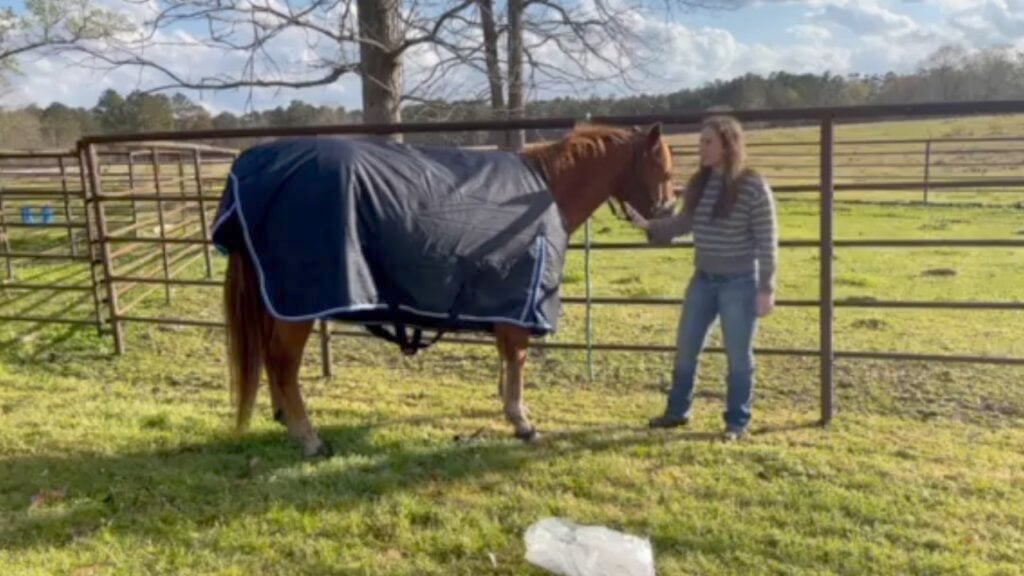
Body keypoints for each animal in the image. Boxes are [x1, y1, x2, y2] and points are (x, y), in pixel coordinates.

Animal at [218, 121, 671, 457]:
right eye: (664, 171)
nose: (665, 221)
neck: (540, 196)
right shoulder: (519, 305)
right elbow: (519, 359)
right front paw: (522, 421)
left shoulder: (503, 306)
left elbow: (507, 359)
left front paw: (513, 413)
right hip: (297, 304)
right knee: (283, 364)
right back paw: (308, 437)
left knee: (274, 362)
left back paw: (286, 421)